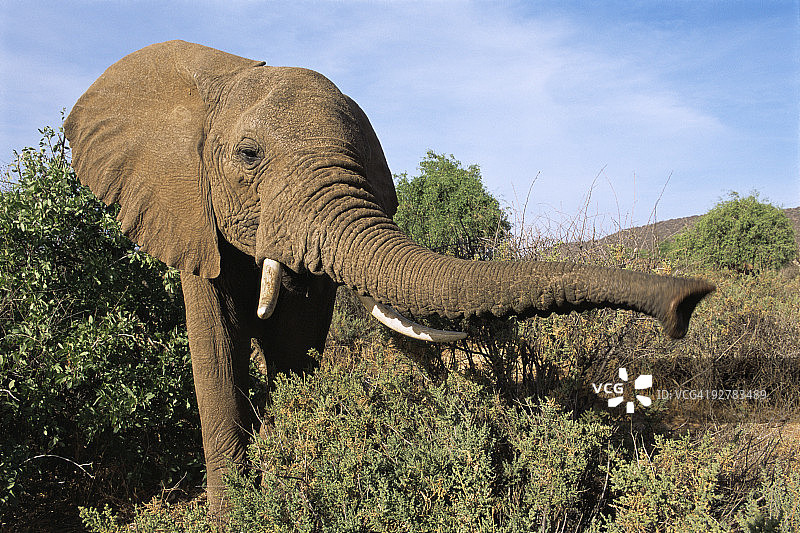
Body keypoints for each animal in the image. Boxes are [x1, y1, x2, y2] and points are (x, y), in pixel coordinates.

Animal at [64, 40, 714, 514]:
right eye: (248, 156)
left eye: (367, 170)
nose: (686, 302)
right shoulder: (189, 211)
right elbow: (218, 350)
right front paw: (234, 515)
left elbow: (294, 343)